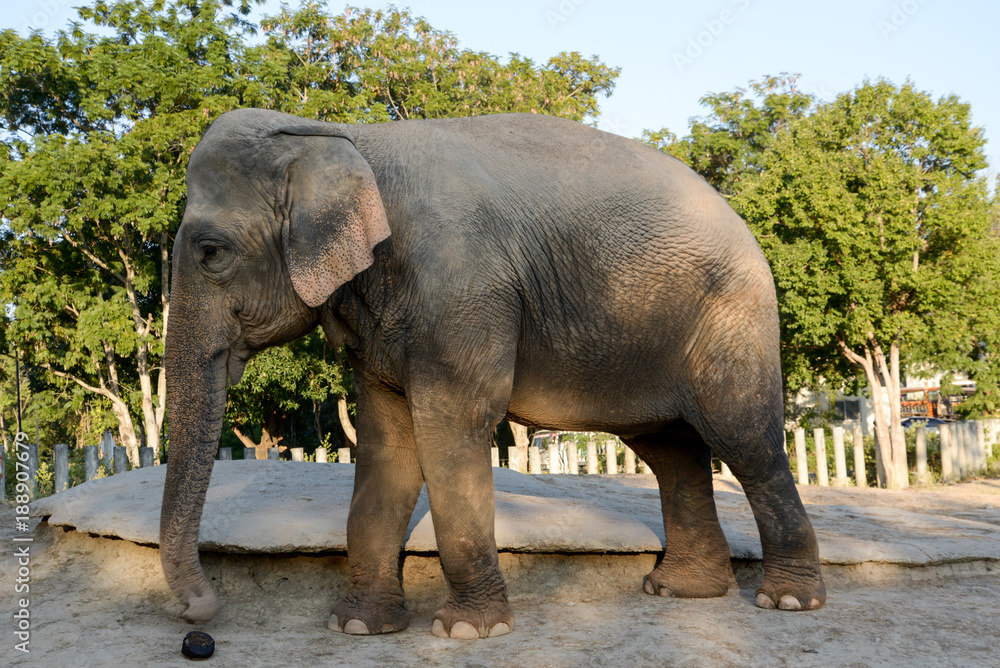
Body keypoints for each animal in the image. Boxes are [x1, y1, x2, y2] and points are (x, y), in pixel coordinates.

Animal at [160, 108, 825, 640]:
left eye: (211, 253)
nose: (199, 614)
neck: (343, 135)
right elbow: (387, 444)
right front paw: (358, 626)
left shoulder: (462, 288)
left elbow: (452, 429)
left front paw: (466, 632)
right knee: (673, 451)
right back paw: (679, 590)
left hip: (732, 318)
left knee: (745, 440)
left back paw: (787, 600)